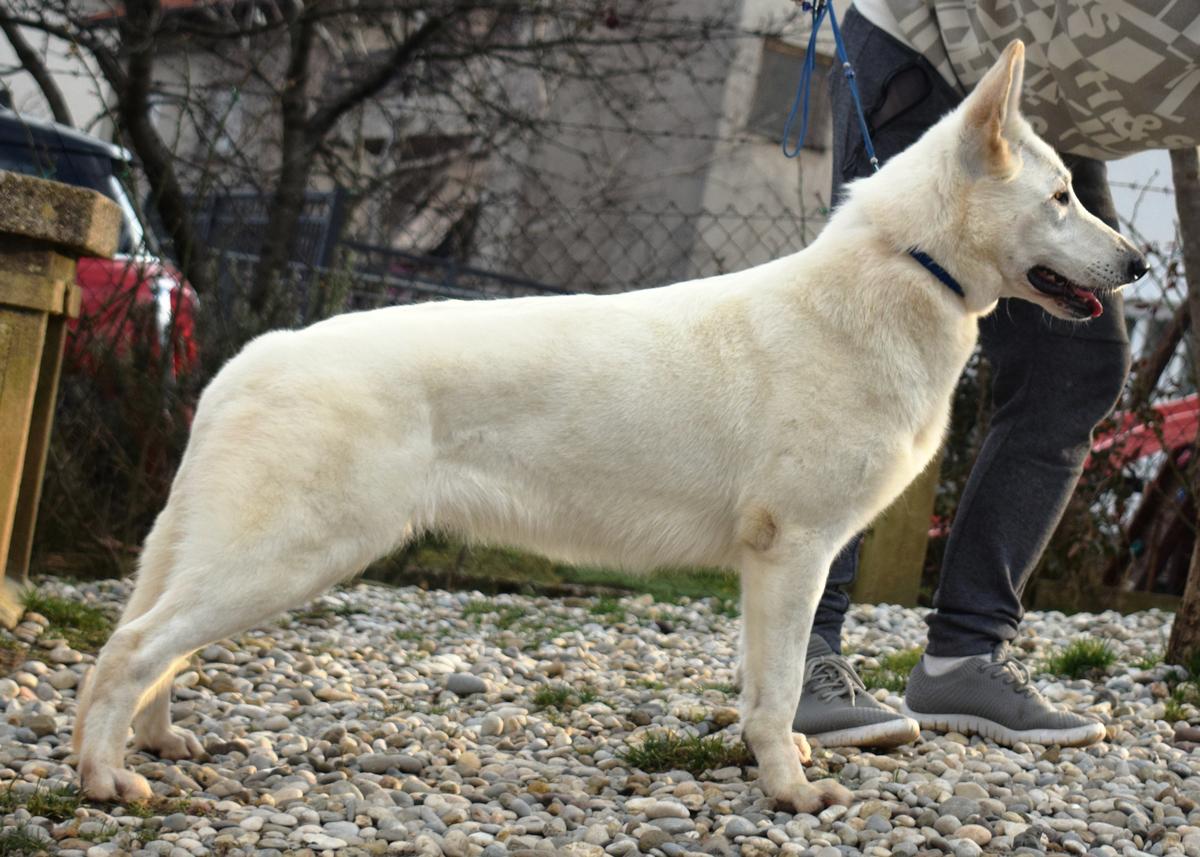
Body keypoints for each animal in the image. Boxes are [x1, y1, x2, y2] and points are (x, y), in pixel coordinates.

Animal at [72, 40, 1142, 811]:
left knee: (157, 646)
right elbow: (780, 685)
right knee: (131, 648)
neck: (907, 264)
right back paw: (105, 775)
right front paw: (791, 790)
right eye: (1062, 197)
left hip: (253, 558)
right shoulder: (794, 553)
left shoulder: (773, 569)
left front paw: (780, 762)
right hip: (291, 556)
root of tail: (253, 357)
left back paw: (156, 741)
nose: (1136, 262)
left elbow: (761, 689)